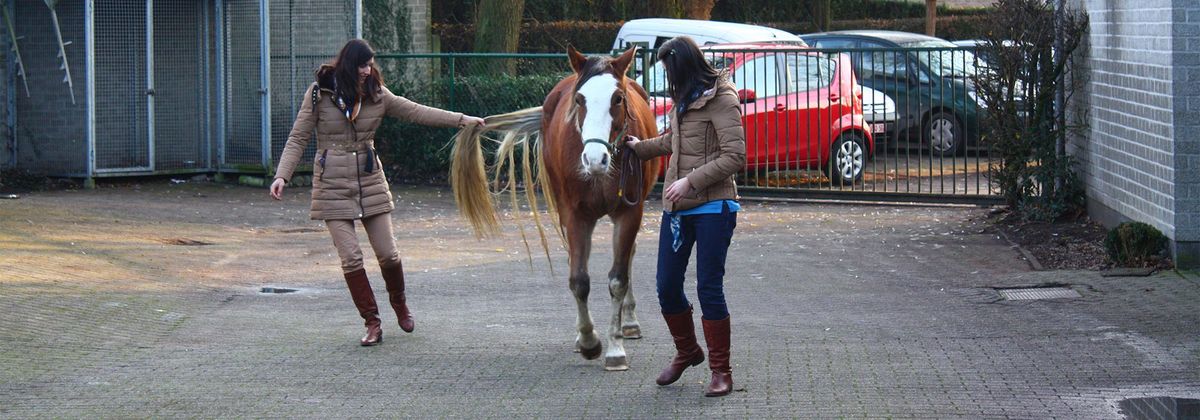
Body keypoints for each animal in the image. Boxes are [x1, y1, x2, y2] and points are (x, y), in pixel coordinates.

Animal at [451, 45, 662, 369]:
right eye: (580, 99)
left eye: (617, 98)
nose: (595, 159)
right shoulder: (574, 215)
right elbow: (579, 280)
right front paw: (588, 340)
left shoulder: (629, 213)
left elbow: (618, 279)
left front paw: (615, 348)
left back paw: (629, 322)